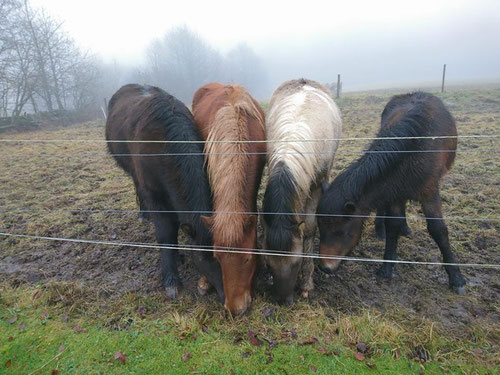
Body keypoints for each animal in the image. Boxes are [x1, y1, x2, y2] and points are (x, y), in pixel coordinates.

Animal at [106, 83, 224, 302]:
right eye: (203, 257)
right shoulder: (155, 195)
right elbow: (165, 232)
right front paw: (171, 279)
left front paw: (177, 255)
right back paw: (143, 215)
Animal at [262, 79, 344, 306]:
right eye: (268, 263)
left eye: (296, 263)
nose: (282, 301)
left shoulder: (316, 186)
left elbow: (308, 228)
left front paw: (307, 284)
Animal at [318, 92, 466, 296]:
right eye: (320, 229)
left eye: (342, 232)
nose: (324, 267)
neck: (410, 152)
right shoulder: (394, 193)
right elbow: (393, 224)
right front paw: (387, 266)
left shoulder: (429, 193)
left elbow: (438, 230)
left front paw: (456, 278)